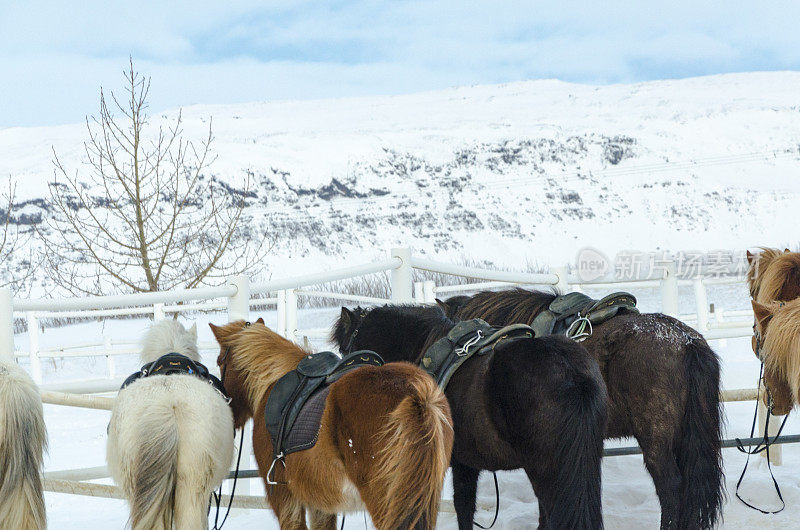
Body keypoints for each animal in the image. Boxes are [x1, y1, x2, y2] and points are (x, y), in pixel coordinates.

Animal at [209, 318, 454, 528]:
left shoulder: (285, 499)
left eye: (220, 361)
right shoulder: (321, 505)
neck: (273, 380)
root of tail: (417, 394)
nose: (229, 414)